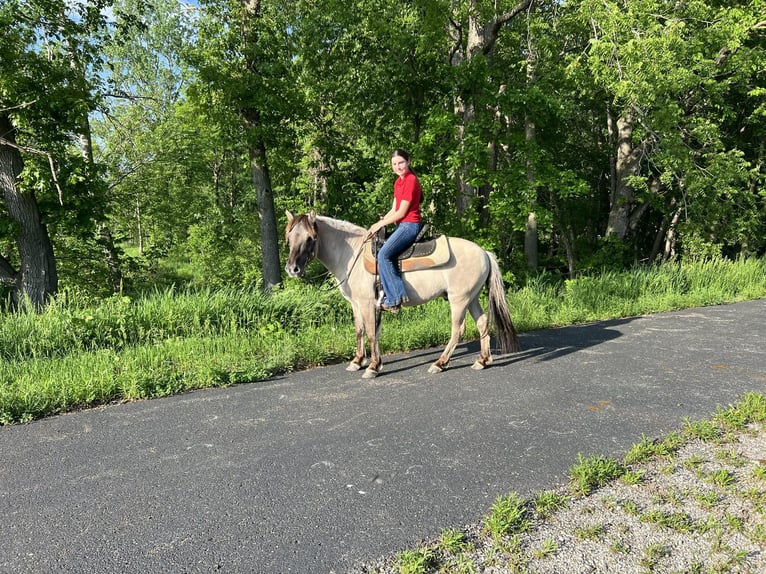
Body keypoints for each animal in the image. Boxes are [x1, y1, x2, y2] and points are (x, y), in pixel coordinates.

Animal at [284, 210, 520, 378]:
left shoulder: (367, 303)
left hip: (459, 299)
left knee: (458, 330)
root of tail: (484, 253)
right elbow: (360, 331)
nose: (292, 269)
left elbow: (371, 333)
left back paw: (440, 363)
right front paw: (358, 361)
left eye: (311, 238)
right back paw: (482, 360)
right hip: (471, 297)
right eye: (289, 237)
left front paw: (372, 366)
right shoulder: (356, 304)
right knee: (482, 323)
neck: (350, 254)